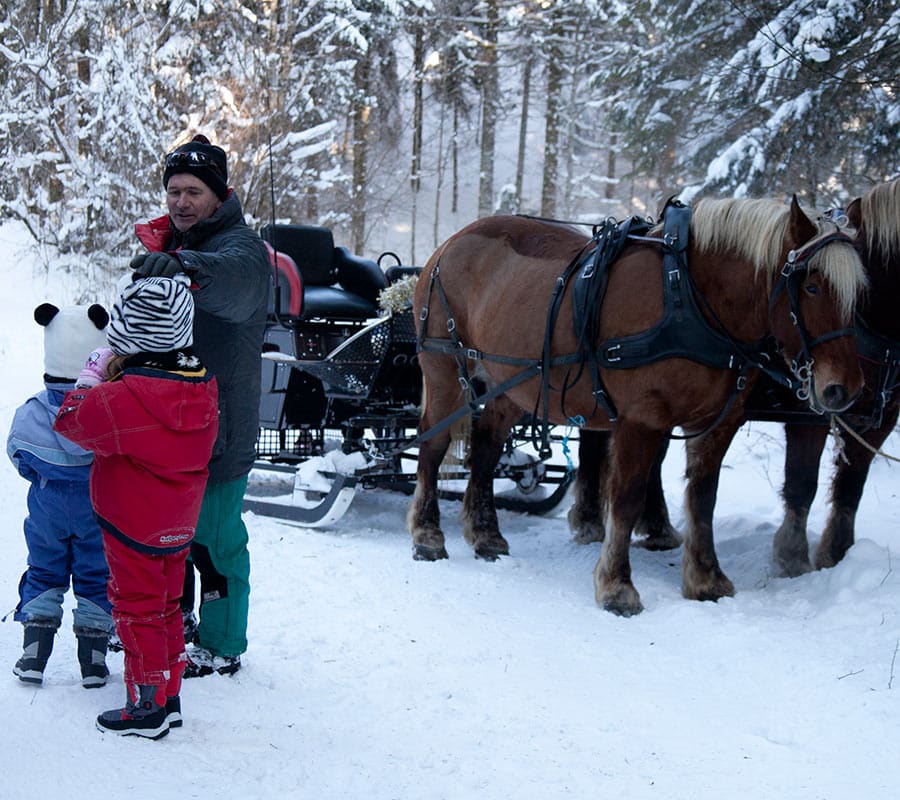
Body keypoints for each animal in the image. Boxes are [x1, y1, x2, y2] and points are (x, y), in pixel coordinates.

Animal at [412, 197, 868, 616]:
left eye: (861, 293)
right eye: (811, 286)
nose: (844, 389)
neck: (689, 297)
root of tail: (448, 244)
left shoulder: (718, 422)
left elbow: (703, 498)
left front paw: (705, 579)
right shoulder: (641, 421)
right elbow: (627, 499)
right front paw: (616, 586)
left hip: (507, 384)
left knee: (486, 450)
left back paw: (485, 534)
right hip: (443, 370)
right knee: (432, 447)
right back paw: (426, 535)